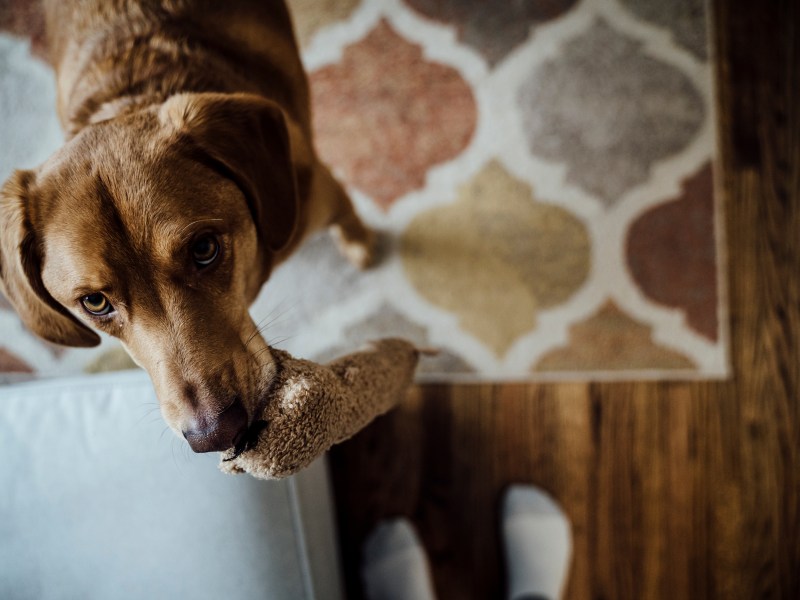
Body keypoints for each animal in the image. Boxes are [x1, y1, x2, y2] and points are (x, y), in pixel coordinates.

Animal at [0, 0, 376, 450]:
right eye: (94, 302)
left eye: (204, 249)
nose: (215, 434)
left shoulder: (323, 193)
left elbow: (350, 219)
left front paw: (362, 247)